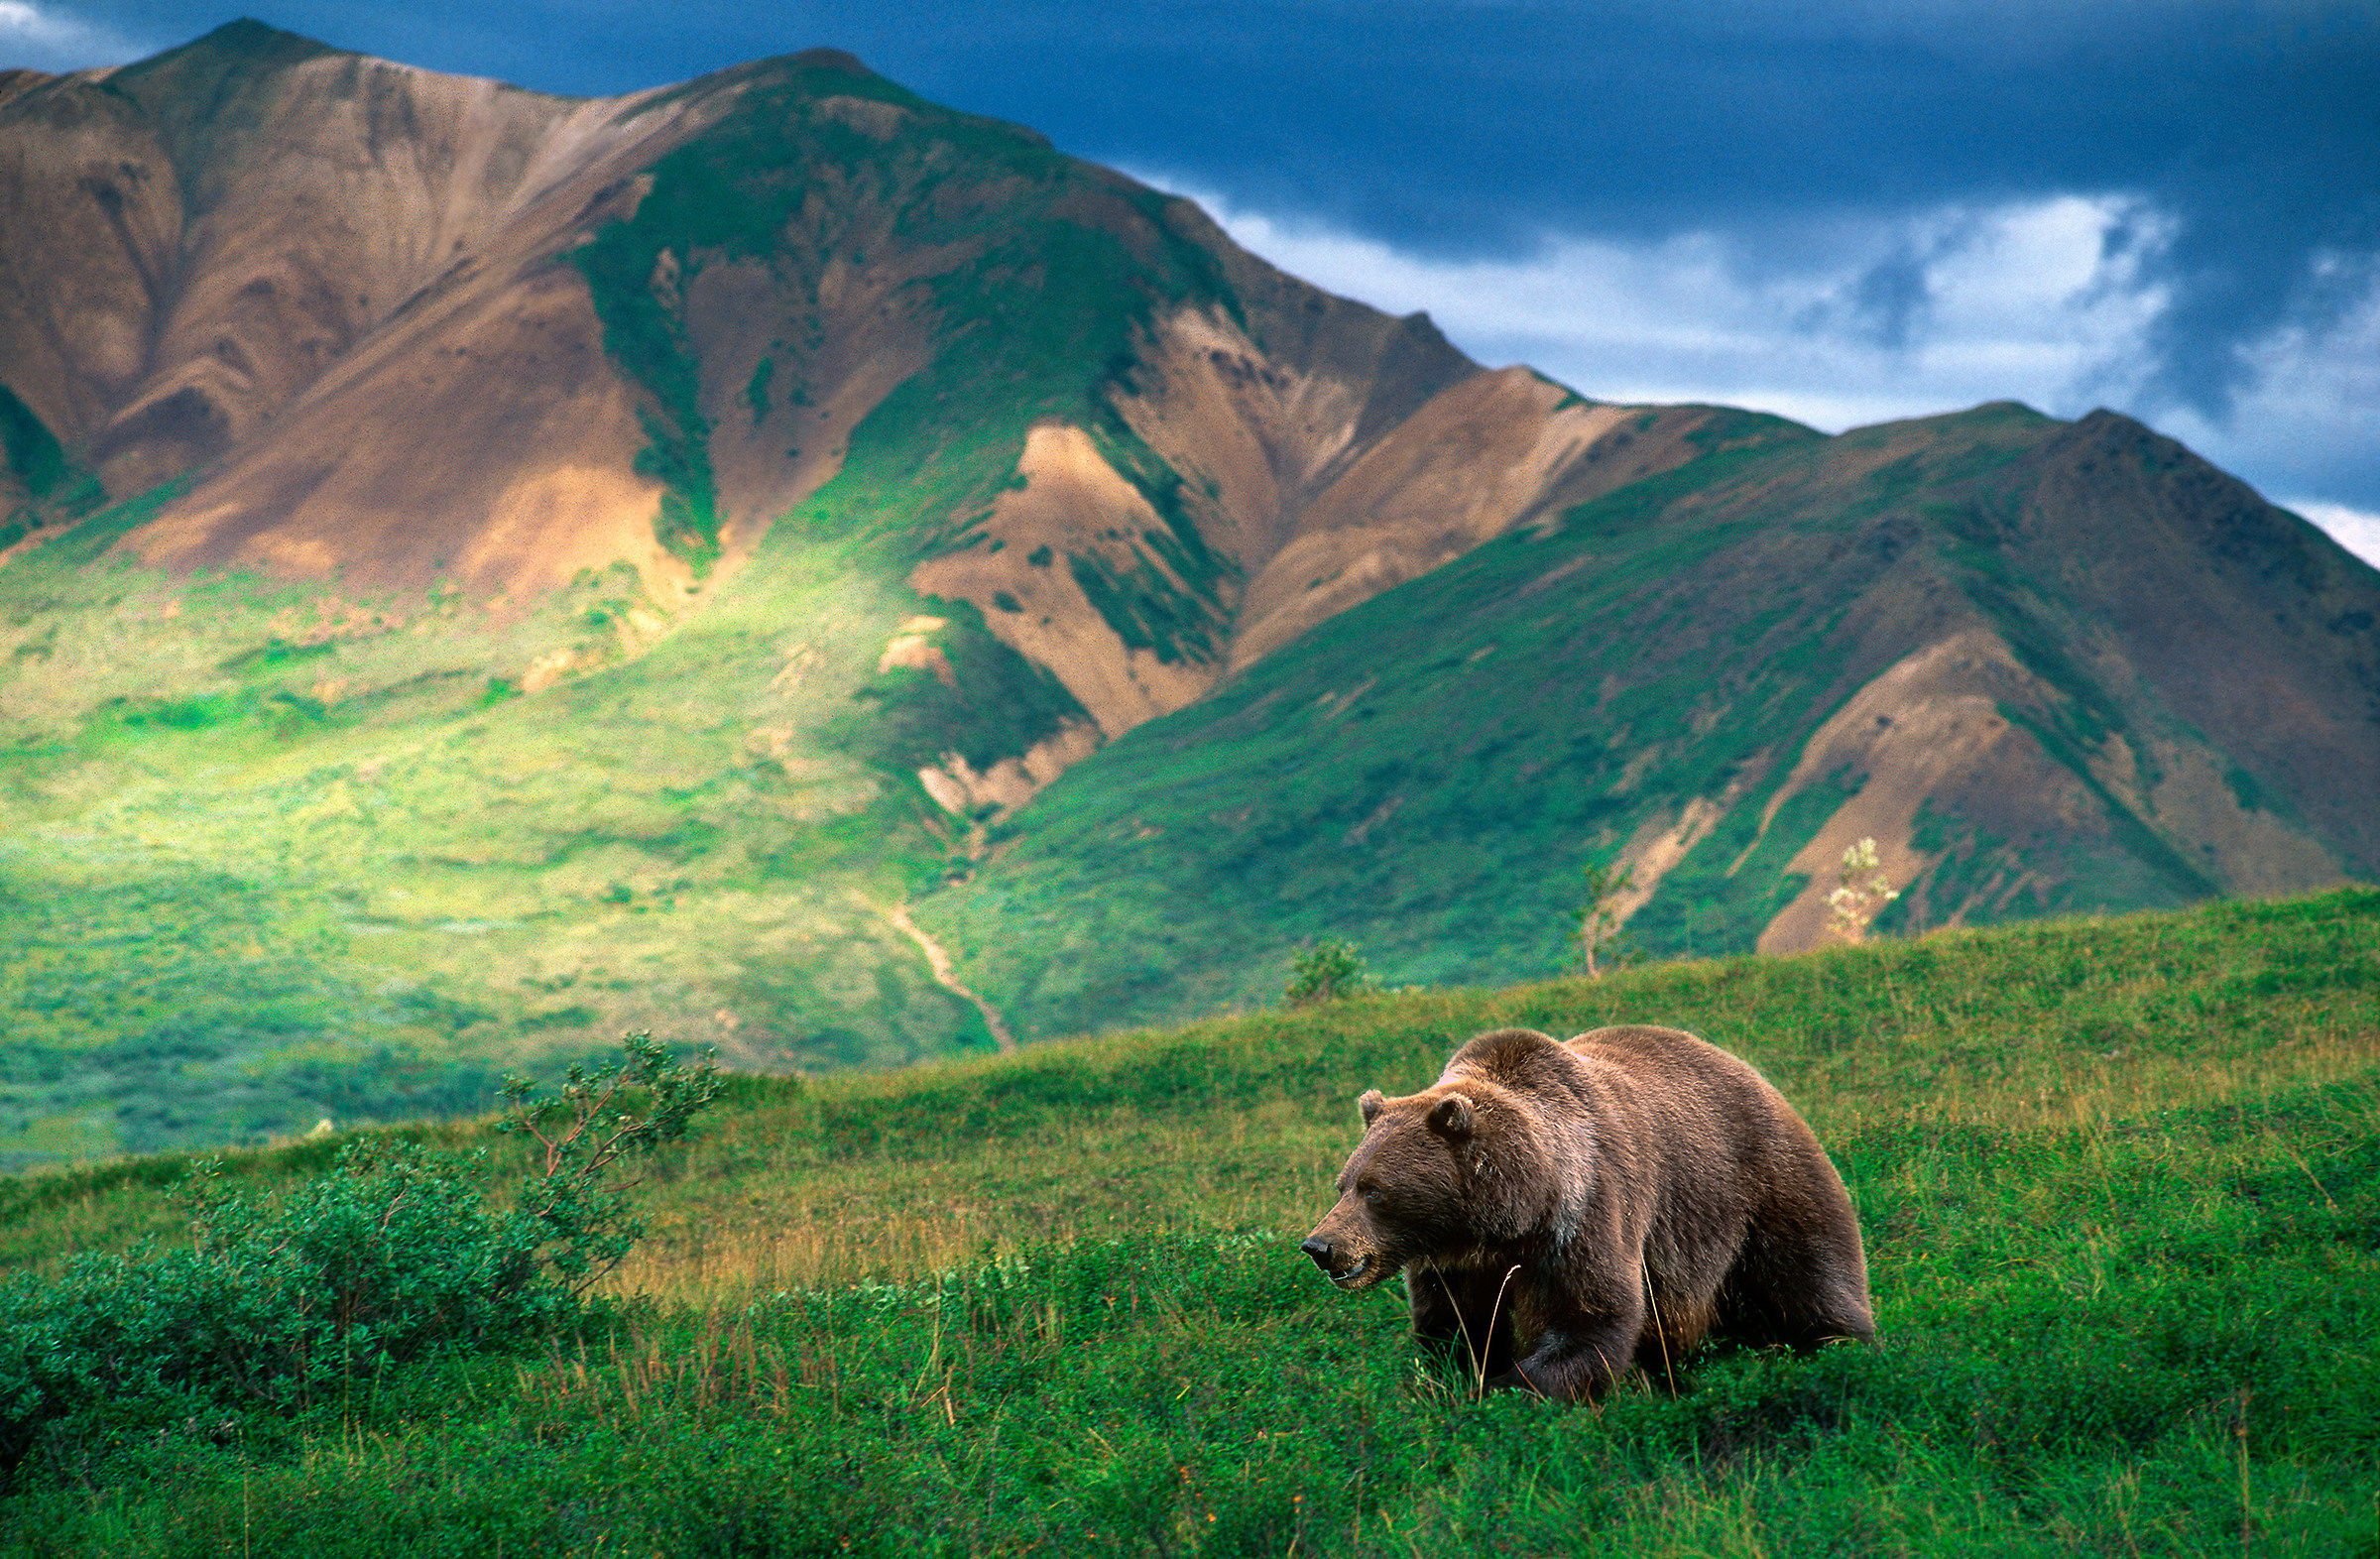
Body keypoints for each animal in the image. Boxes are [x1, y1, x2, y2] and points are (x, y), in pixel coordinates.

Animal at [1300, 1025, 1873, 1402]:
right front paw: (1454, 1382)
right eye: (1342, 1185)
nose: (1320, 1246)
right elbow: (1458, 1329)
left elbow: (1589, 1318)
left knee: (1809, 1273)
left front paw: (1511, 1390)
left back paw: (1842, 1345)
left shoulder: (1584, 1213)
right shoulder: (1455, 1265)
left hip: (1758, 1186)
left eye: (1375, 1190)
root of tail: (1751, 1072)